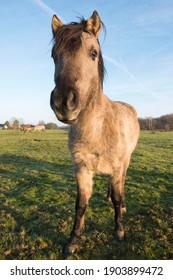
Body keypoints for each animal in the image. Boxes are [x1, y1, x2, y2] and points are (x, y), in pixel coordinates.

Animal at [49, 10, 139, 254]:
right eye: (54, 56)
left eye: (93, 53)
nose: (63, 102)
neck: (97, 131)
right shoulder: (81, 169)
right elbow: (81, 204)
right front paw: (72, 239)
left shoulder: (117, 166)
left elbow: (117, 197)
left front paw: (119, 231)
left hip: (126, 161)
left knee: (122, 183)